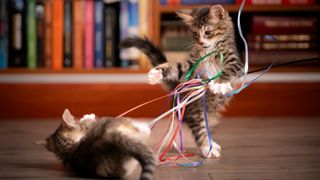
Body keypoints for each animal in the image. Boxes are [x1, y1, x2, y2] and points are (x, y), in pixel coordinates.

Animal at [119, 4, 242, 158]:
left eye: (208, 32)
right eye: (195, 34)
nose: (201, 42)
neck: (209, 51)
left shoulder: (236, 62)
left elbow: (228, 69)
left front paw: (219, 84)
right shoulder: (191, 66)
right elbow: (176, 68)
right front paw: (157, 73)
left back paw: (210, 146)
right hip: (193, 108)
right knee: (200, 129)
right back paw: (207, 147)